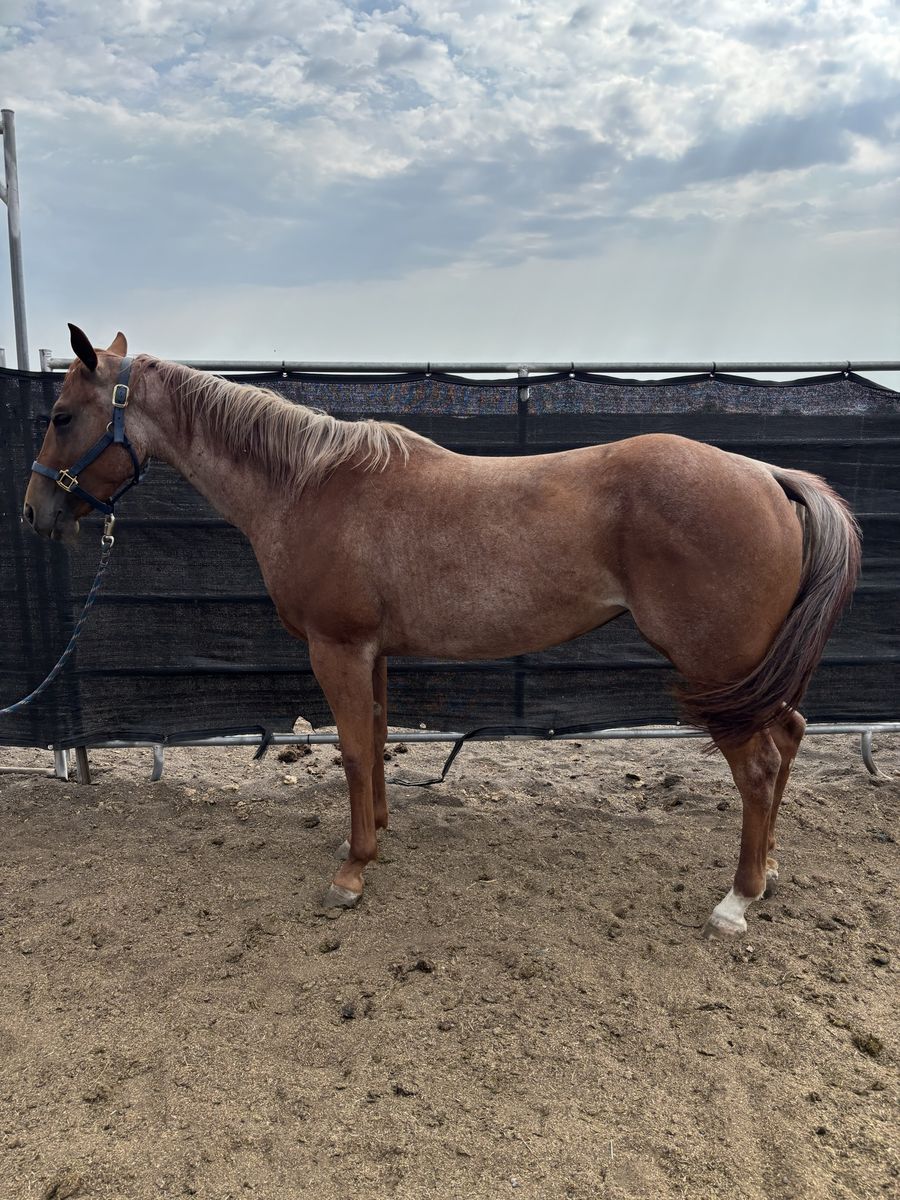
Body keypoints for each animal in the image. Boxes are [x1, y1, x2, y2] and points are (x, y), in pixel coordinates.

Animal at [23, 326, 861, 936]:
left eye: (62, 417)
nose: (36, 513)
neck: (309, 485)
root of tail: (768, 477)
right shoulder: (374, 654)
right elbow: (376, 742)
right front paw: (374, 836)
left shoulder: (337, 649)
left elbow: (353, 751)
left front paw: (352, 871)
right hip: (749, 671)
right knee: (790, 738)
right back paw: (770, 871)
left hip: (715, 666)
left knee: (759, 767)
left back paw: (736, 900)